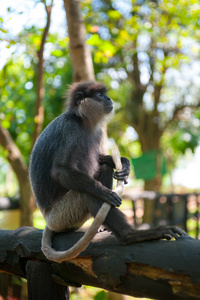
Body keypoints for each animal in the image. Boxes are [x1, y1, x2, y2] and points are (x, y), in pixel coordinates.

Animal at [28, 81, 187, 262]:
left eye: (105, 94)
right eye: (99, 95)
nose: (109, 99)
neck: (83, 121)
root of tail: (47, 220)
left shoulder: (97, 132)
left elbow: (100, 160)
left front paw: (124, 165)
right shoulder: (70, 129)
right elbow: (60, 170)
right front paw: (103, 192)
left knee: (104, 168)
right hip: (60, 217)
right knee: (85, 193)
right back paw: (130, 235)